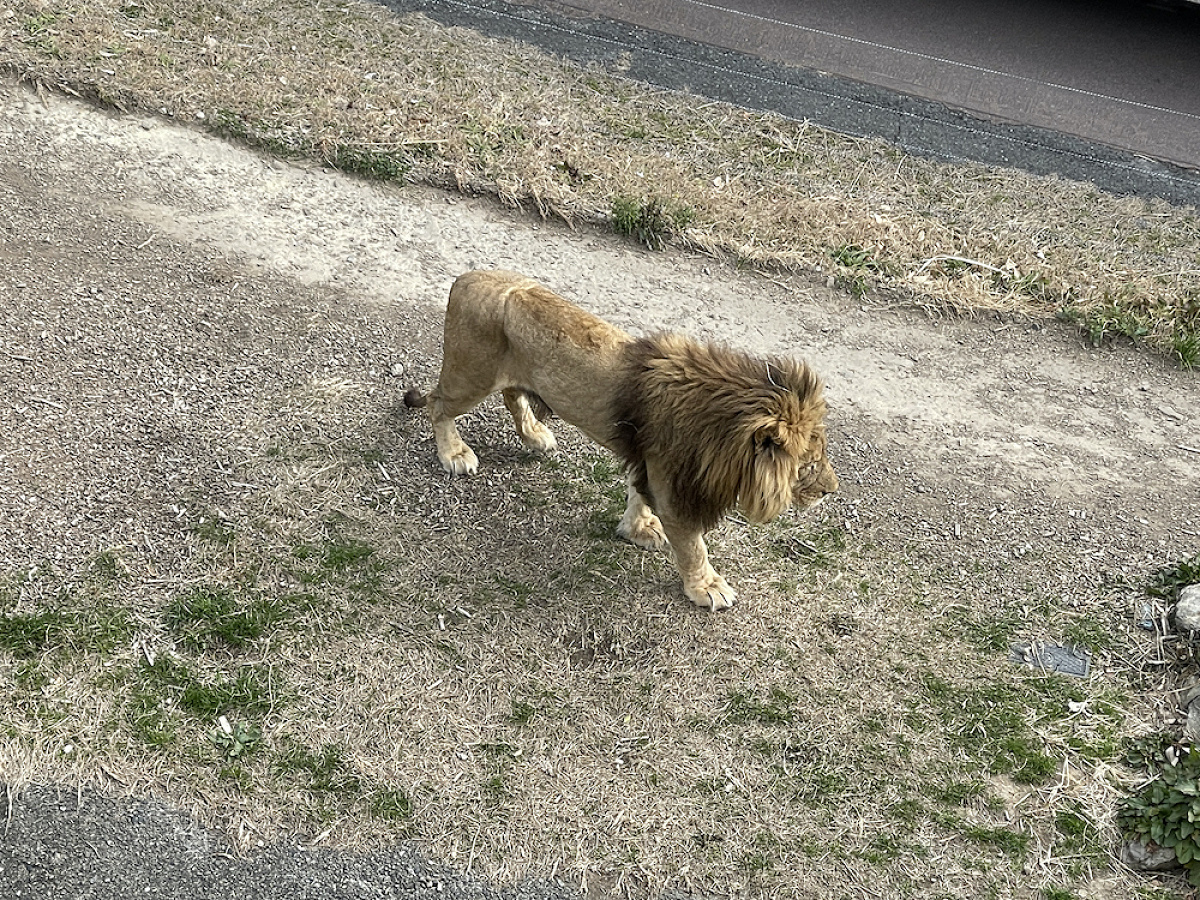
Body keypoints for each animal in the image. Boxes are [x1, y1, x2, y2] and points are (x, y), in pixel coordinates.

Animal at [403, 271, 835, 609]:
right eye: (809, 465)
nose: (831, 490)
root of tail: (465, 278)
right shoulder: (673, 487)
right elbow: (693, 545)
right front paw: (708, 587)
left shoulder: (647, 459)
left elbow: (636, 495)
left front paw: (636, 529)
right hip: (471, 375)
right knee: (438, 404)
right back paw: (454, 453)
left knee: (511, 395)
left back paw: (536, 435)